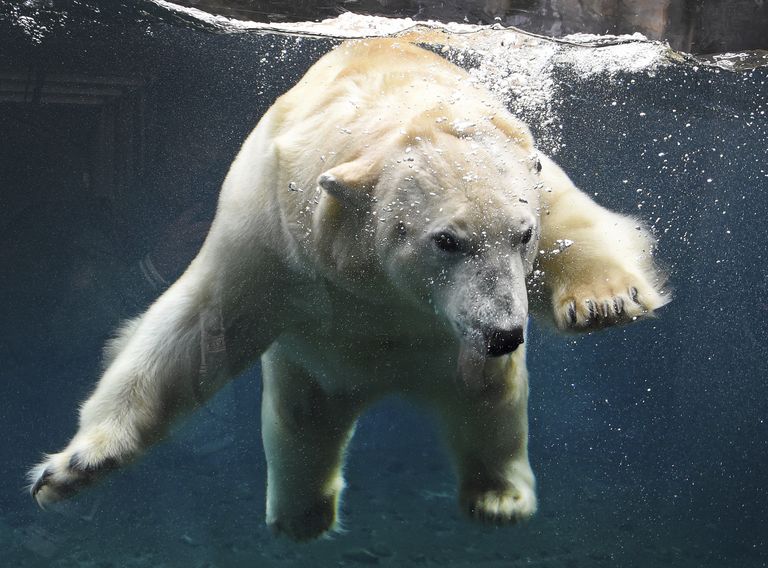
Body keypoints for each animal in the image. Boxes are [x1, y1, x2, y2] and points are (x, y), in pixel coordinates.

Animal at [29, 38, 668, 541]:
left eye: (522, 234)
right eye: (446, 240)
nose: (503, 333)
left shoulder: (521, 163)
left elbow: (572, 219)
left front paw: (606, 301)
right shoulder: (273, 234)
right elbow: (198, 328)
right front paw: (71, 467)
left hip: (455, 367)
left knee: (491, 403)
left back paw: (498, 498)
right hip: (317, 373)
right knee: (302, 423)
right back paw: (302, 515)